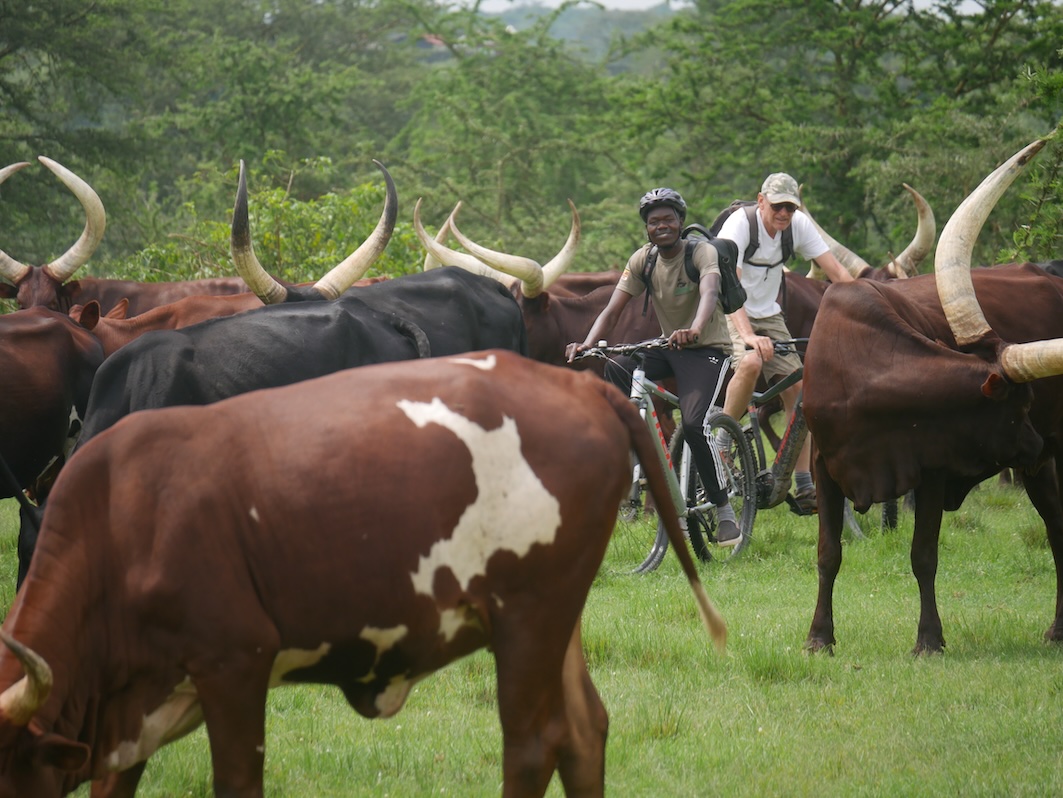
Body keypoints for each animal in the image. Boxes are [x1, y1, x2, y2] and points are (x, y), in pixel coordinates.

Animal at [0, 350, 727, 798]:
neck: (121, 519)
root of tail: (579, 383)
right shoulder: (133, 718)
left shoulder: (233, 666)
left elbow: (237, 781)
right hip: (557, 619)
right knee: (582, 733)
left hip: (529, 616)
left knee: (532, 742)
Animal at [803, 140, 1063, 654]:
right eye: (1019, 407)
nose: (1036, 443)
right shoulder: (824, 464)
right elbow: (828, 553)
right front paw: (819, 637)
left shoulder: (932, 469)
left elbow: (923, 555)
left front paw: (929, 640)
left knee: (1059, 532)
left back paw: (1058, 629)